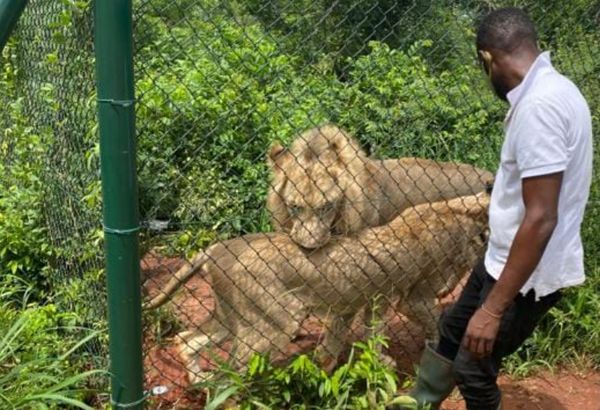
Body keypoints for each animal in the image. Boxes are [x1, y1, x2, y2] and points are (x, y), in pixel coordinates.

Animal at [146, 192, 492, 384]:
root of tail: (215, 250)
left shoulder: (365, 301)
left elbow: (362, 336)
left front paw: (354, 365)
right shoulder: (414, 296)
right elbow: (435, 320)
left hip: (231, 317)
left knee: (186, 340)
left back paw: (198, 379)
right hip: (278, 321)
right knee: (227, 376)